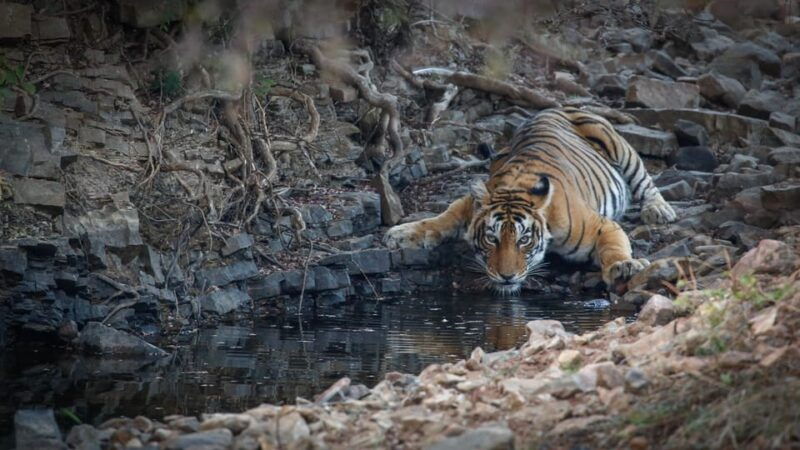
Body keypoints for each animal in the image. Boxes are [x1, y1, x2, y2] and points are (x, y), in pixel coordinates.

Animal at [384, 107, 677, 294]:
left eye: (524, 240)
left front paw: (623, 267)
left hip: (616, 144)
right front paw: (401, 233)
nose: (507, 277)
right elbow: (442, 217)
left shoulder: (601, 225)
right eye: (492, 238)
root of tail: (554, 107)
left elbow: (613, 247)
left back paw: (659, 210)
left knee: (645, 181)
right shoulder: (469, 203)